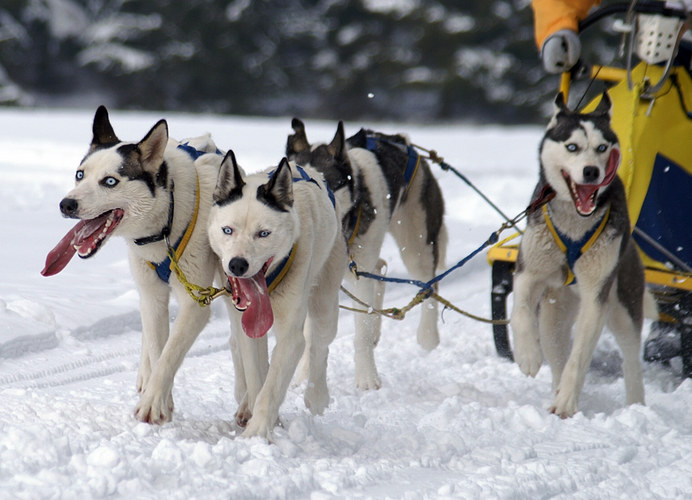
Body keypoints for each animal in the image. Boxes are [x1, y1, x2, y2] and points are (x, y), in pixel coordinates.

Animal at [42, 107, 224, 424]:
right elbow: (157, 348)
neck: (164, 225)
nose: (66, 204)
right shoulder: (152, 296)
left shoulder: (195, 303)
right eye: (80, 175)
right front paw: (160, 396)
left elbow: (169, 354)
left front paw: (153, 403)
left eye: (110, 181)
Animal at [205, 152, 346, 438]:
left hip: (325, 302)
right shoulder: (248, 329)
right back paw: (245, 404)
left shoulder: (291, 336)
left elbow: (271, 389)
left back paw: (317, 396)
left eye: (263, 234)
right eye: (228, 230)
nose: (237, 265)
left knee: (318, 346)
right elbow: (258, 377)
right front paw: (263, 418)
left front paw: (256, 433)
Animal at [286, 118, 448, 390]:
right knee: (379, 269)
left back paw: (428, 336)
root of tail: (402, 139)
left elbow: (360, 332)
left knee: (427, 284)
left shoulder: (359, 272)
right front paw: (303, 376)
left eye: (323, 183)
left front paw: (367, 378)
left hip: (416, 244)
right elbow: (310, 333)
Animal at [510, 94, 648, 418]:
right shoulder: (527, 273)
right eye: (572, 147)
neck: (574, 223)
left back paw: (635, 405)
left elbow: (580, 356)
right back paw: (554, 388)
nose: (591, 172)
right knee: (556, 355)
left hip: (622, 308)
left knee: (630, 360)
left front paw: (567, 403)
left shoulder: (596, 295)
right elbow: (520, 311)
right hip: (554, 318)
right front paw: (528, 355)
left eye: (602, 148)